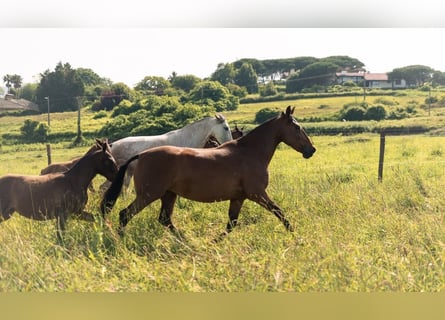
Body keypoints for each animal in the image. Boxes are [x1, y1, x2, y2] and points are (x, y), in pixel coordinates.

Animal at [100, 107, 316, 240]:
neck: (249, 152)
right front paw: (296, 236)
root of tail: (142, 155)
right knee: (125, 214)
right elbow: (279, 212)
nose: (311, 150)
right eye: (297, 127)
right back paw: (121, 239)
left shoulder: (239, 198)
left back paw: (185, 239)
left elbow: (231, 224)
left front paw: (214, 242)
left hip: (168, 195)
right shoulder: (257, 194)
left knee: (164, 219)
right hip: (148, 194)